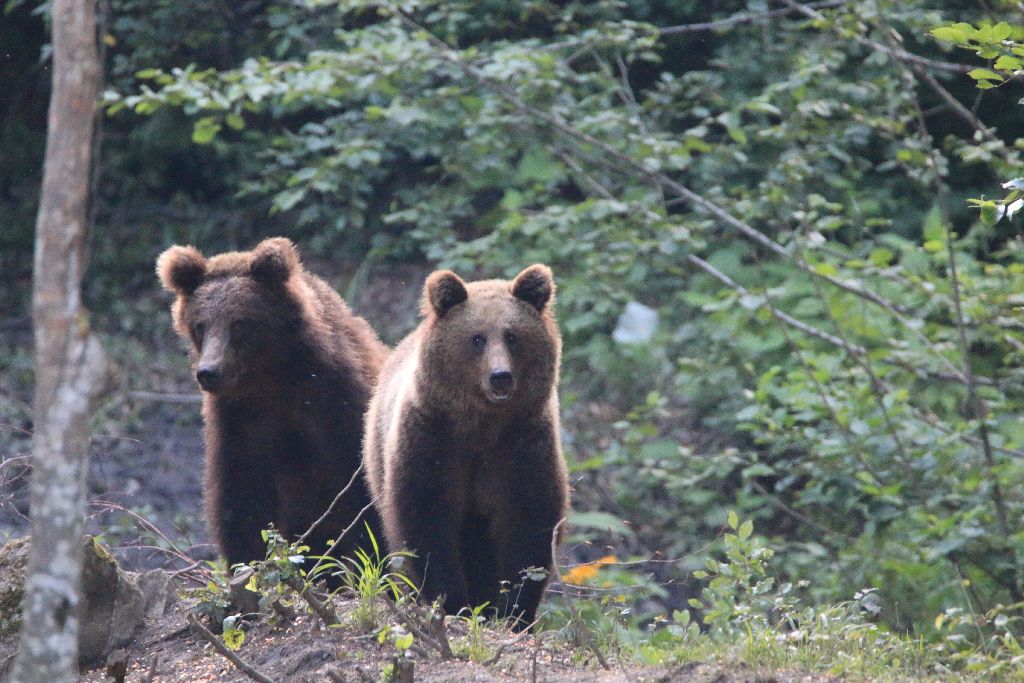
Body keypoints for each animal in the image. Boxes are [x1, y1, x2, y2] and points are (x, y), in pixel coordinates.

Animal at [157, 237, 385, 569]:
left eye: (239, 323)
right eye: (200, 324)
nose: (208, 372)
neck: (272, 379)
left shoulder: (337, 409)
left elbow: (362, 504)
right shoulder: (240, 423)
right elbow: (242, 505)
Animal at [362, 264, 573, 626]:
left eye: (512, 336)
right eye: (477, 338)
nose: (500, 376)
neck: (482, 425)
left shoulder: (523, 446)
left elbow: (529, 522)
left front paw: (513, 609)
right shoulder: (432, 440)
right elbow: (427, 519)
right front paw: (451, 601)